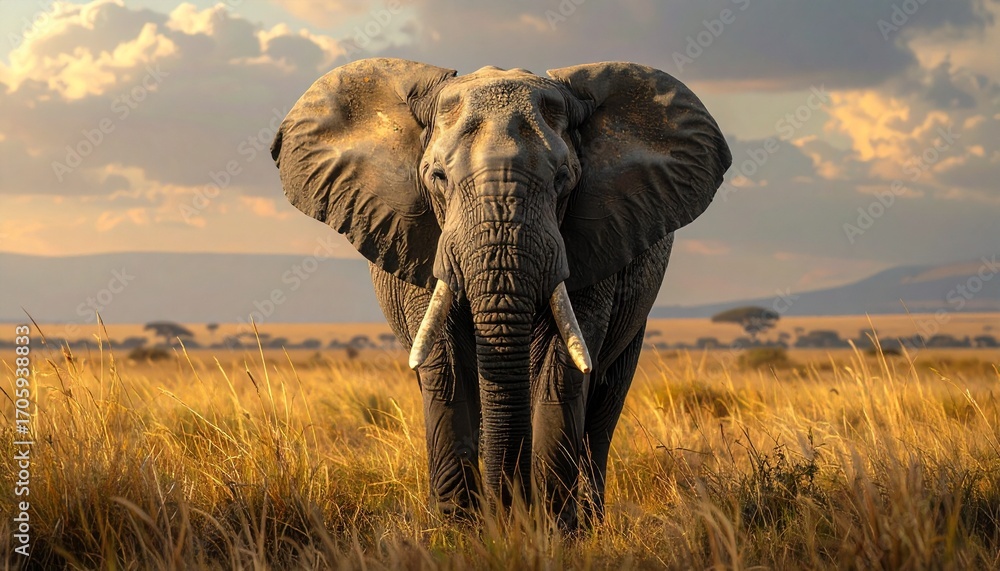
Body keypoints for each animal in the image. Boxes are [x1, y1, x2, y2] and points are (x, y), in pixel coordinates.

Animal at [271, 58, 731, 528]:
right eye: (438, 178)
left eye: (563, 179)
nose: (506, 511)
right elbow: (445, 363)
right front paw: (459, 530)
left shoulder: (596, 240)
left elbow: (562, 364)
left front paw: (552, 528)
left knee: (605, 406)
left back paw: (587, 520)